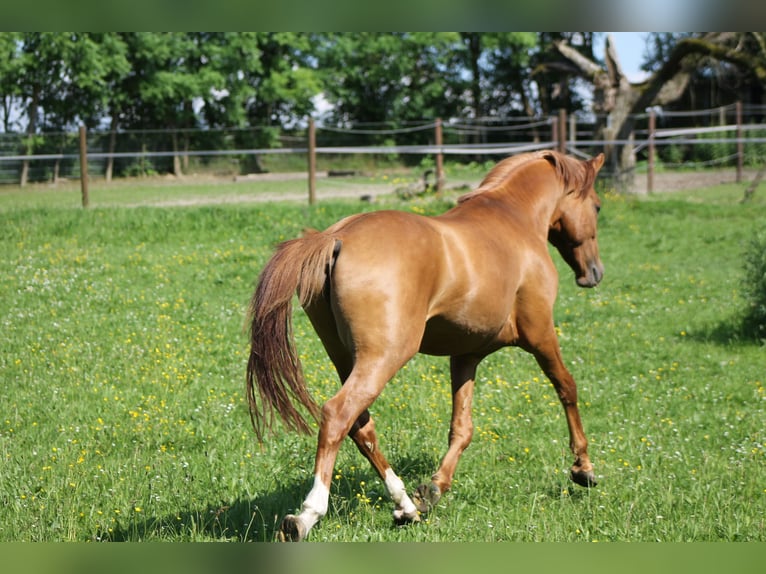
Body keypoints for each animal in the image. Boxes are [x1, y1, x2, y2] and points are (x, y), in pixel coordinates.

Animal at [249, 151, 608, 544]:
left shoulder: (466, 355)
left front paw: (434, 488)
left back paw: (406, 505)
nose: (594, 273)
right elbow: (567, 388)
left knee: (361, 426)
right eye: (597, 206)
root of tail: (335, 238)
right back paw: (306, 516)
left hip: (347, 359)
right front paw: (583, 468)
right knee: (337, 416)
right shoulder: (540, 334)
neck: (513, 219)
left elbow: (462, 428)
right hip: (384, 357)